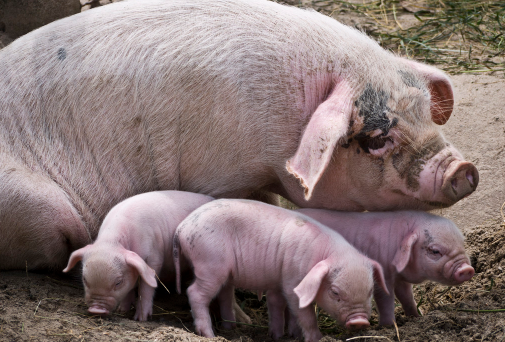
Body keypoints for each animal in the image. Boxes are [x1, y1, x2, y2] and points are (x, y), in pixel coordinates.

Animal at [171, 199, 388, 340]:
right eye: (335, 292)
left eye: (370, 290)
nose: (360, 321)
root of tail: (182, 227)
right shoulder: (292, 280)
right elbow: (304, 314)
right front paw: (316, 338)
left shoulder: (280, 280)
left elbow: (280, 307)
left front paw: (282, 335)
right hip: (210, 263)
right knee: (195, 293)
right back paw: (209, 335)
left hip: (223, 271)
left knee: (224, 295)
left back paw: (231, 328)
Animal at [298, 208, 474, 326]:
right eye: (435, 251)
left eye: (462, 243)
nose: (467, 269)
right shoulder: (383, 274)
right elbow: (386, 300)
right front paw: (388, 326)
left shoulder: (401, 279)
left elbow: (407, 297)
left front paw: (417, 317)